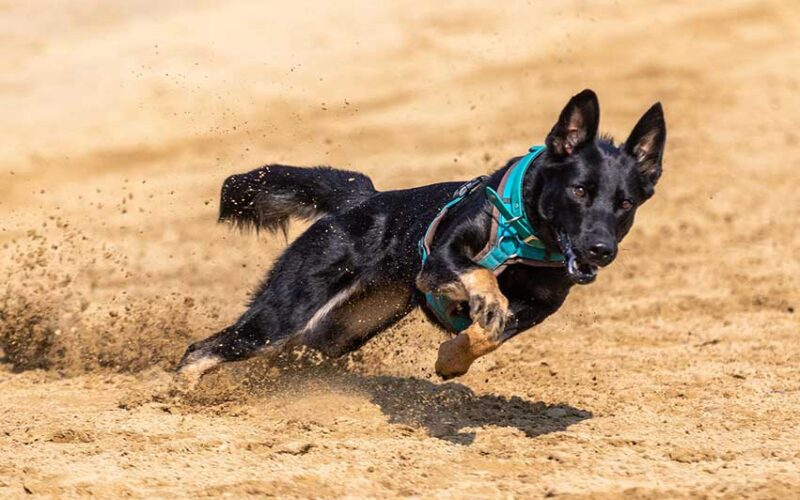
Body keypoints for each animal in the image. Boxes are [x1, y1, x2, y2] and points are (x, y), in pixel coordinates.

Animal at [178, 89, 664, 382]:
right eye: (580, 190)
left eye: (626, 203)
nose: (601, 250)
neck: (529, 233)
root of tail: (363, 200)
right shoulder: (441, 259)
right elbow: (481, 279)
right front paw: (486, 301)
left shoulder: (539, 308)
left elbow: (490, 333)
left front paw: (453, 357)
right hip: (286, 310)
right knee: (206, 347)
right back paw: (179, 393)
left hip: (344, 328)